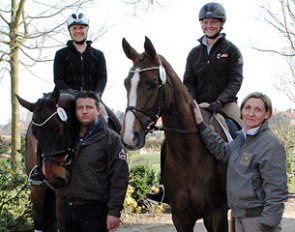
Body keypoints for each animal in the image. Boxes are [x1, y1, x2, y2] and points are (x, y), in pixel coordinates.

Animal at [121, 37, 231, 231]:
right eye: (126, 84)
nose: (129, 137)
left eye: (152, 83)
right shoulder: (180, 216)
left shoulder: (217, 214)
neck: (190, 155)